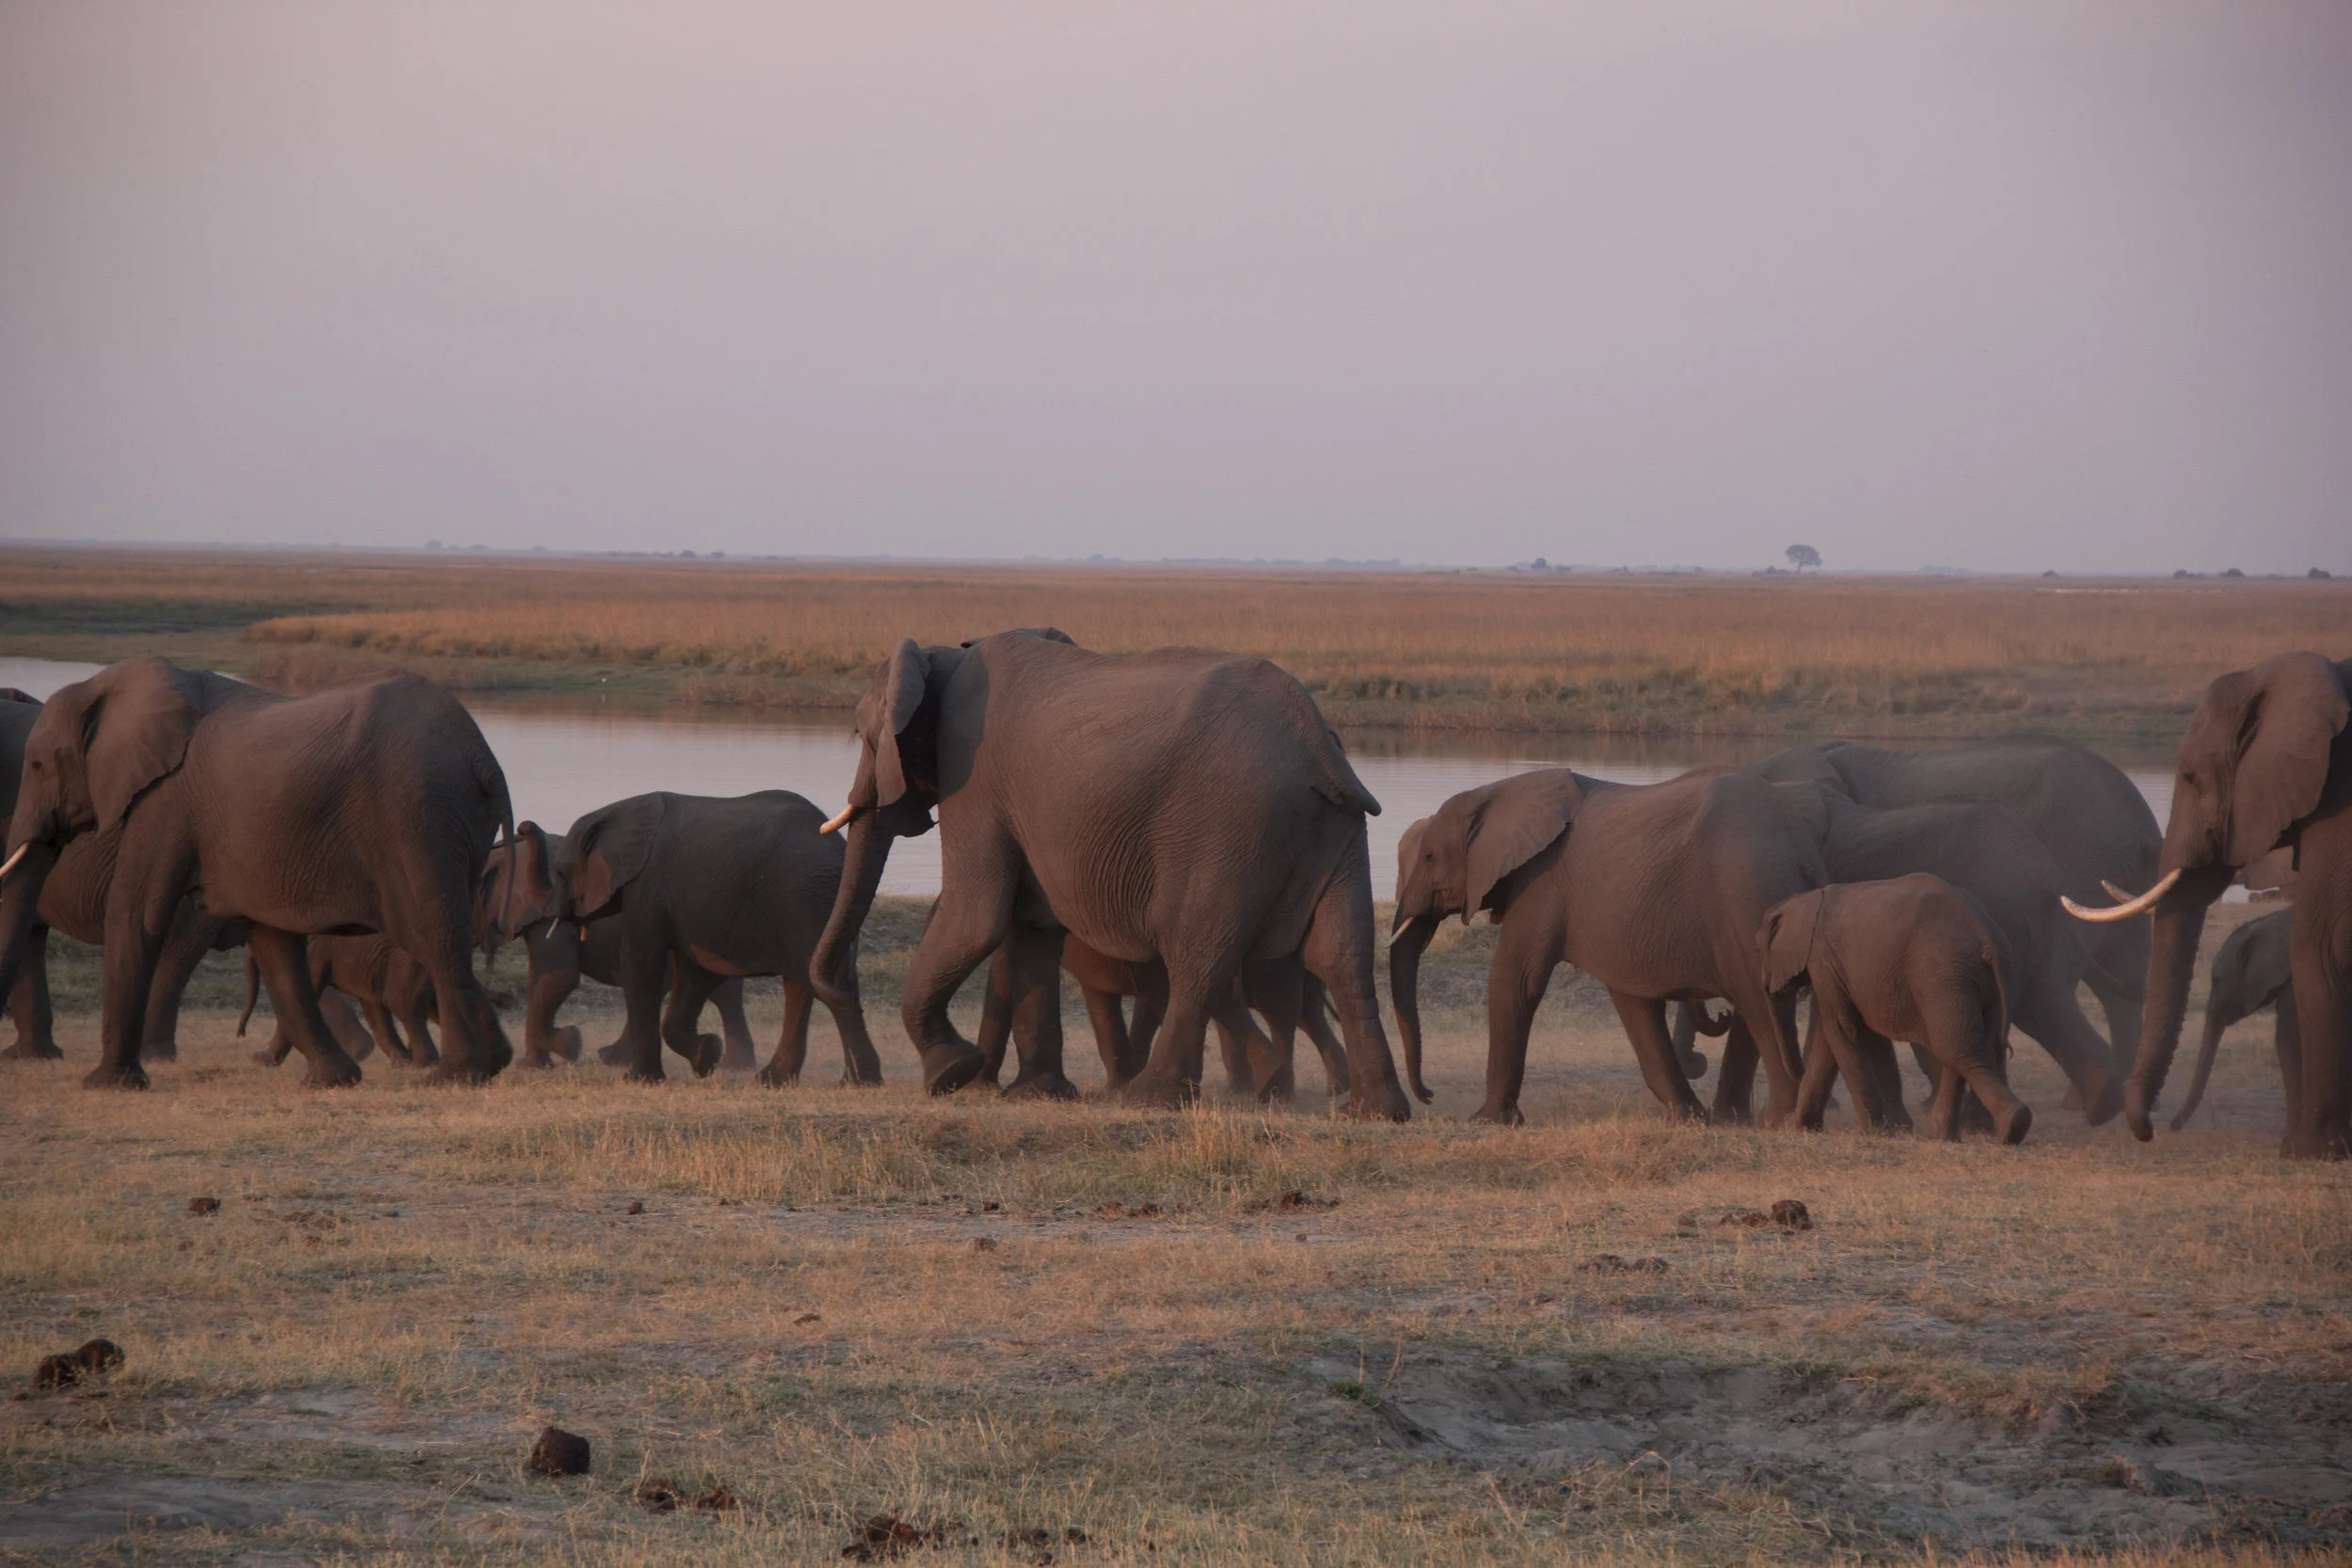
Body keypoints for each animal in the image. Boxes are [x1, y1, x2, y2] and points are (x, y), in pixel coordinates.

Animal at [810, 629, 1411, 1118]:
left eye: (863, 737)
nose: (841, 988)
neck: (942, 655)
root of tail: (1315, 742)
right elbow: (1029, 930)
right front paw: (1037, 1095)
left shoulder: (973, 774)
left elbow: (974, 917)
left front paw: (950, 1073)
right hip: (1333, 827)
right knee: (1340, 956)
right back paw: (1369, 1110)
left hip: (1229, 829)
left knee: (1195, 954)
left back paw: (1152, 1099)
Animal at [1388, 767, 1824, 1126]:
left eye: (1429, 856)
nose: (1428, 1096)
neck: (1496, 790)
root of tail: (1800, 848)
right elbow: (1633, 1005)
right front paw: (1688, 1119)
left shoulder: (1541, 882)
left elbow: (1515, 983)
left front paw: (1488, 1121)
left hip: (1747, 903)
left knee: (1761, 1007)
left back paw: (1780, 1121)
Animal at [1758, 874, 2031, 1144]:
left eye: (1761, 951)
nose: (1796, 1073)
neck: (1805, 900)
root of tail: (1987, 936)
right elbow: (1829, 1039)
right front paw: (1801, 1127)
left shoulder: (1823, 962)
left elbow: (1842, 1030)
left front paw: (1873, 1131)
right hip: (1988, 978)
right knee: (1977, 1047)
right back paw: (1953, 1134)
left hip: (1944, 978)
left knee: (1958, 1051)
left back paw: (2010, 1125)